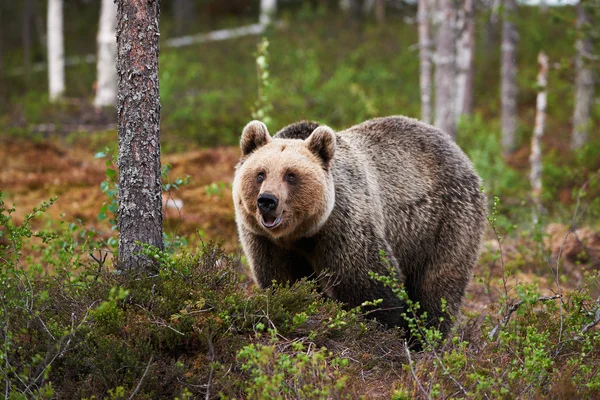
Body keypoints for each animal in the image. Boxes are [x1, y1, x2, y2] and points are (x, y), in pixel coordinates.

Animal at [232, 115, 486, 340]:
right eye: (260, 173)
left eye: (291, 175)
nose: (267, 200)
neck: (302, 234)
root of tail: (459, 151)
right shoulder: (267, 242)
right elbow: (283, 280)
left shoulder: (344, 226)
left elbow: (369, 282)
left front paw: (380, 331)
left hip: (443, 223)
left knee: (436, 286)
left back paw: (426, 338)